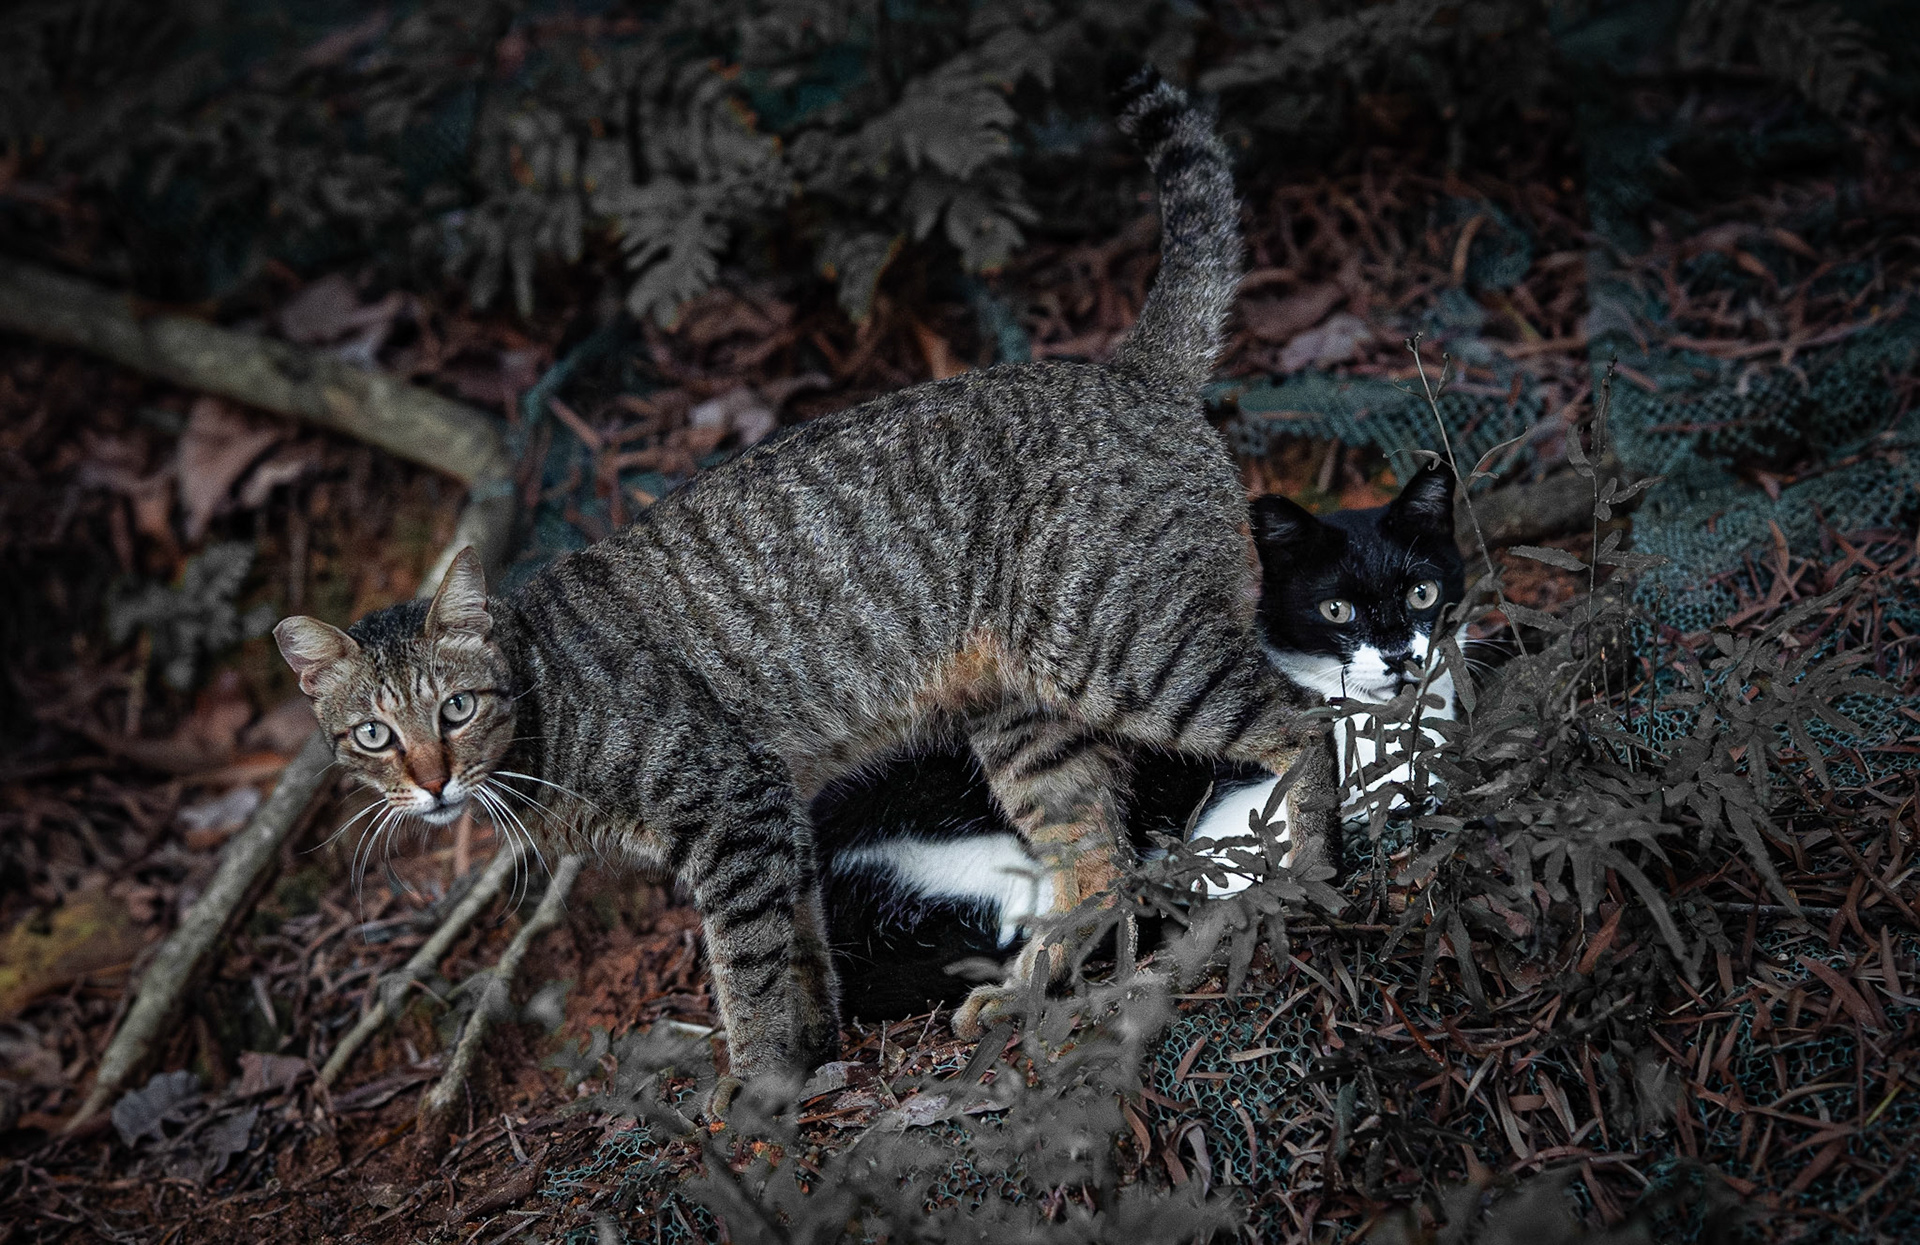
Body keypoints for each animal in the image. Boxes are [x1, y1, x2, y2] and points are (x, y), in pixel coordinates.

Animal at [271, 73, 1332, 1096]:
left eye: (454, 708)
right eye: (373, 735)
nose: (431, 779)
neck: (546, 706)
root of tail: (1132, 372)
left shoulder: (732, 804)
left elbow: (745, 965)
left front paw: (754, 1086)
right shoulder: (776, 814)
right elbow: (801, 950)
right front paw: (812, 1051)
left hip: (1129, 650)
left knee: (1301, 719)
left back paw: (1307, 866)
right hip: (1029, 719)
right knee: (1096, 857)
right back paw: (1035, 982)